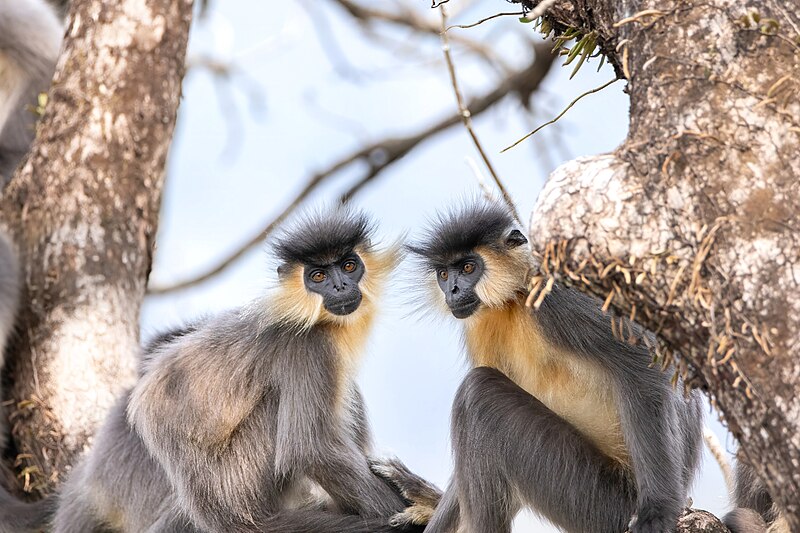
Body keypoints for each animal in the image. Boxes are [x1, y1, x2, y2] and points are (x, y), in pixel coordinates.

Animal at [1, 209, 438, 532]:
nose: (340, 287)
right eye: (317, 276)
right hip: (243, 482)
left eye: (349, 265)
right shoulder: (309, 348)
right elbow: (312, 449)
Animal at [410, 202, 704, 532]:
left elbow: (647, 362)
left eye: (468, 268)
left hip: (600, 499)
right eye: (444, 274)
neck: (516, 295)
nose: (453, 291)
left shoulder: (555, 294)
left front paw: (658, 511)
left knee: (478, 393)